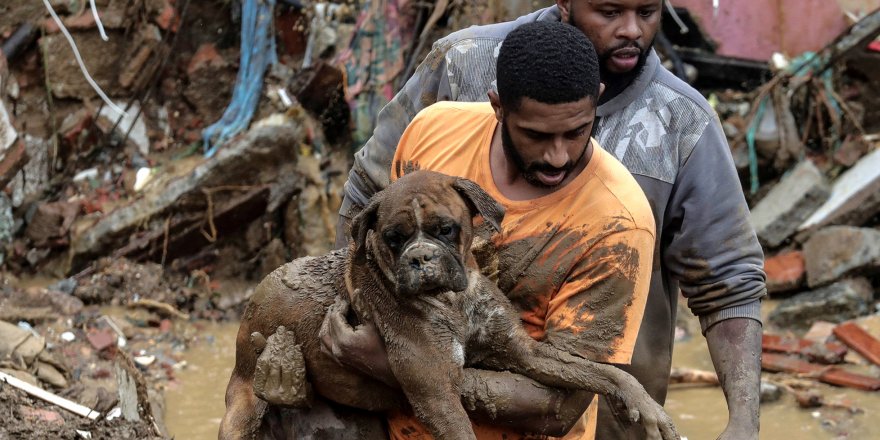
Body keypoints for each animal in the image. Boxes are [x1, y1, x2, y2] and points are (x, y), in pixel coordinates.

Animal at [222, 170, 680, 438]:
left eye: (445, 229)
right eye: (393, 238)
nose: (421, 257)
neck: (453, 302)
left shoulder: (526, 353)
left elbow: (601, 371)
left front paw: (645, 406)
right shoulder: (437, 395)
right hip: (242, 406)